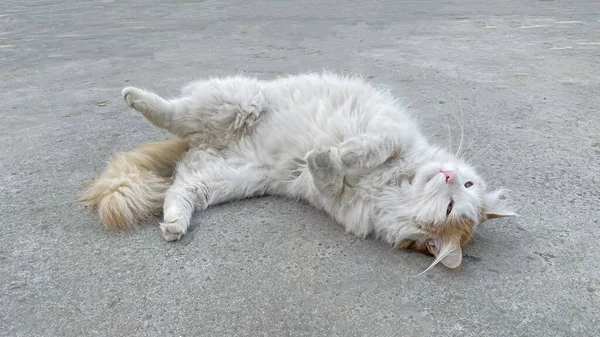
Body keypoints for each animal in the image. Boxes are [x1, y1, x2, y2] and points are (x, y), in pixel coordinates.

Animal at [77, 71, 512, 270]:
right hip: (235, 102)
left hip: (226, 179)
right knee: (170, 112)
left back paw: (173, 225)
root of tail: (206, 141)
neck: (393, 186)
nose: (449, 177)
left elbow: (329, 177)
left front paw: (321, 159)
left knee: (177, 189)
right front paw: (341, 153)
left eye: (452, 207)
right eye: (465, 186)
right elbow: (372, 147)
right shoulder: (393, 133)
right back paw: (134, 96)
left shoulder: (337, 199)